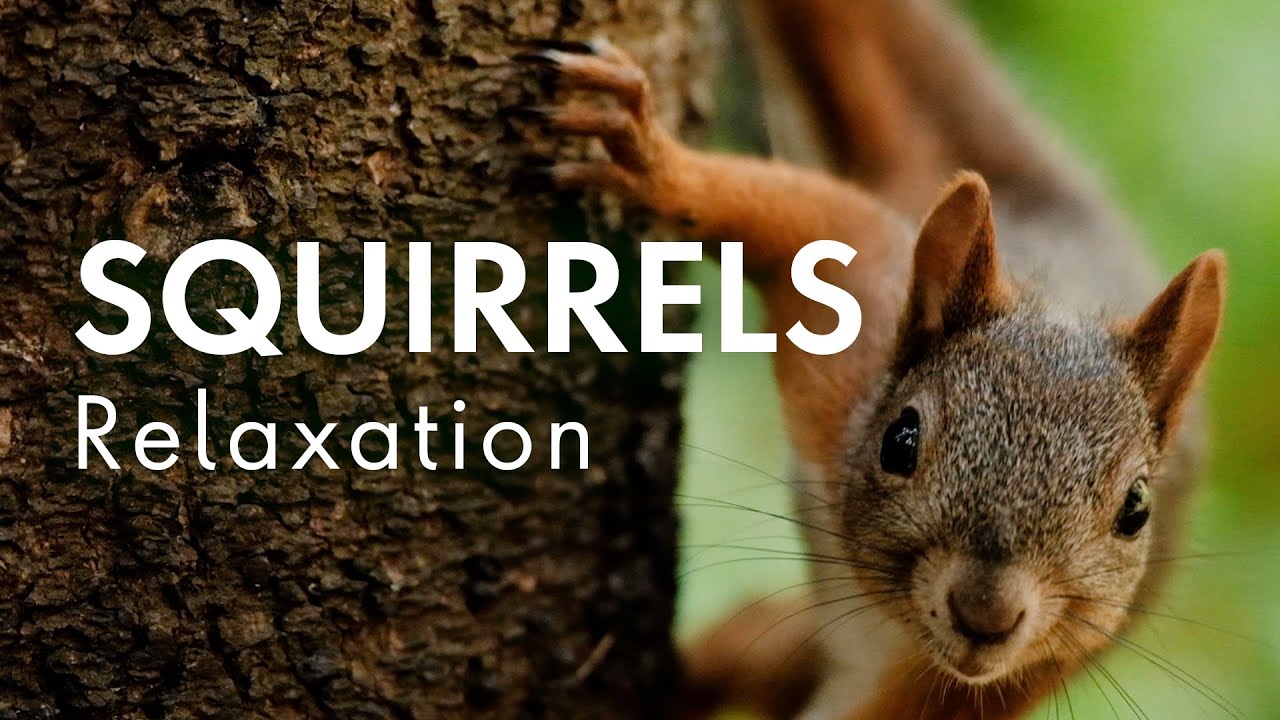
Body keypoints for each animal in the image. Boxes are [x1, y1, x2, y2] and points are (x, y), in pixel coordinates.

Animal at [517, 0, 1227, 718]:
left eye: (1136, 509)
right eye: (900, 440)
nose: (986, 615)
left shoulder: (973, 688)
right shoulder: (856, 310)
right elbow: (794, 215)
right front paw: (651, 160)